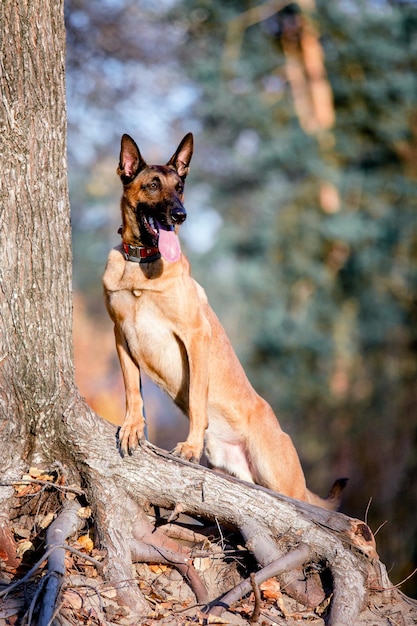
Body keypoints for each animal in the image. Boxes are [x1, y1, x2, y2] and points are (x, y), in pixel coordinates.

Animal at [102, 133, 346, 508]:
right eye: (153, 185)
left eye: (180, 187)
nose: (181, 215)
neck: (140, 264)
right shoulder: (121, 336)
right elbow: (132, 390)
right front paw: (132, 427)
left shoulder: (195, 337)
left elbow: (197, 402)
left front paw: (190, 447)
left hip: (281, 479)